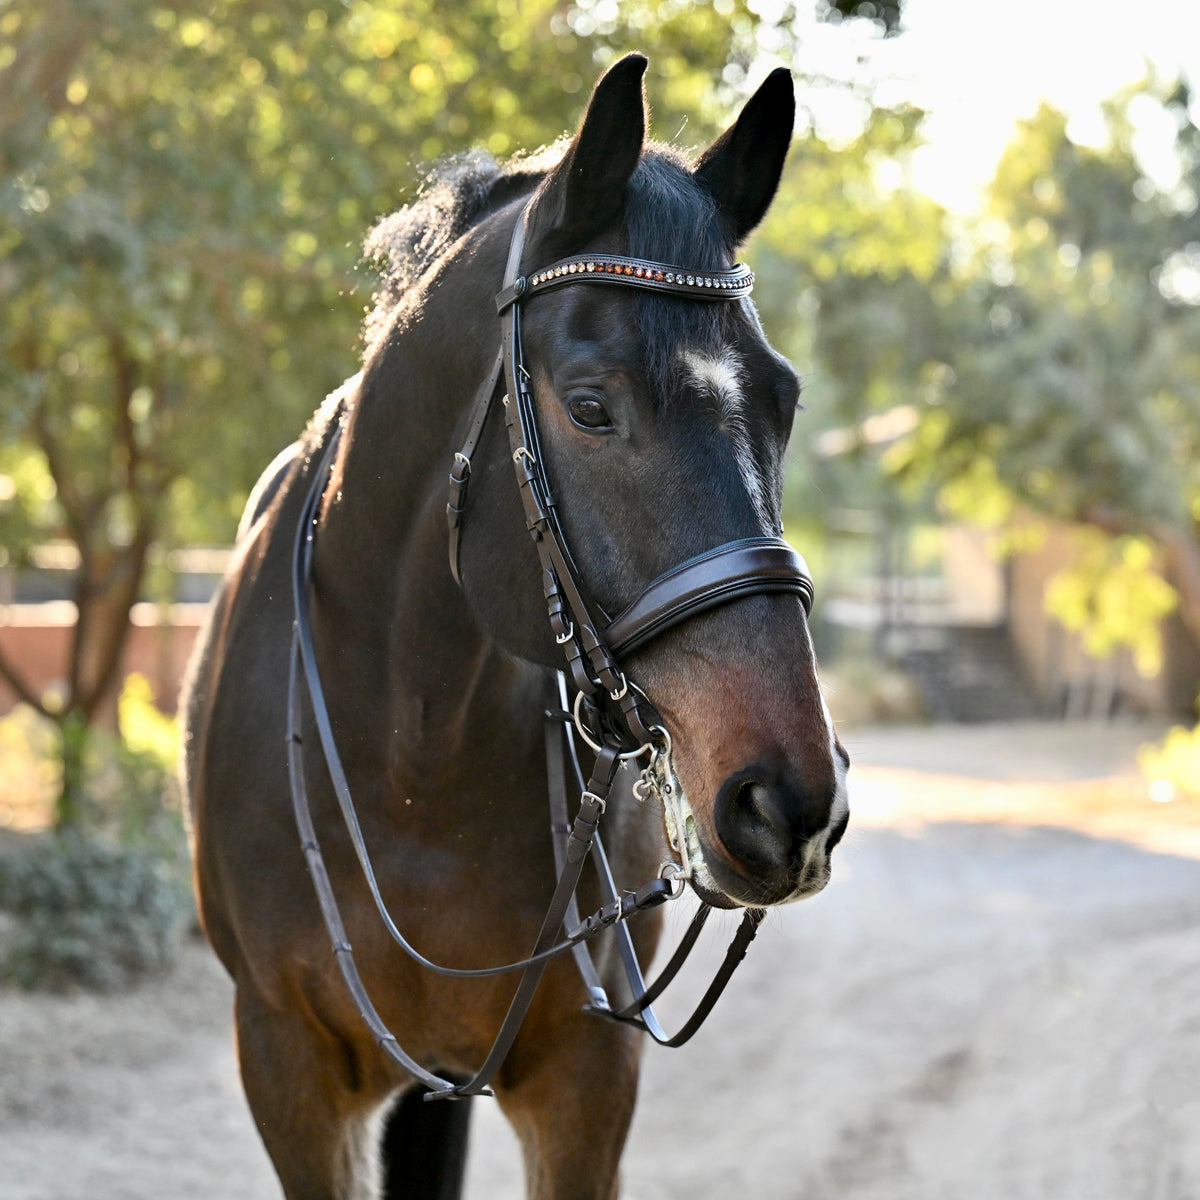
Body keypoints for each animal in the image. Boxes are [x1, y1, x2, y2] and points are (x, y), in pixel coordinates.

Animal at [182, 54, 849, 1200]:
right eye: (588, 407)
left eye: (785, 399)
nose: (790, 803)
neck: (412, 748)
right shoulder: (287, 1066)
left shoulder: (586, 1076)